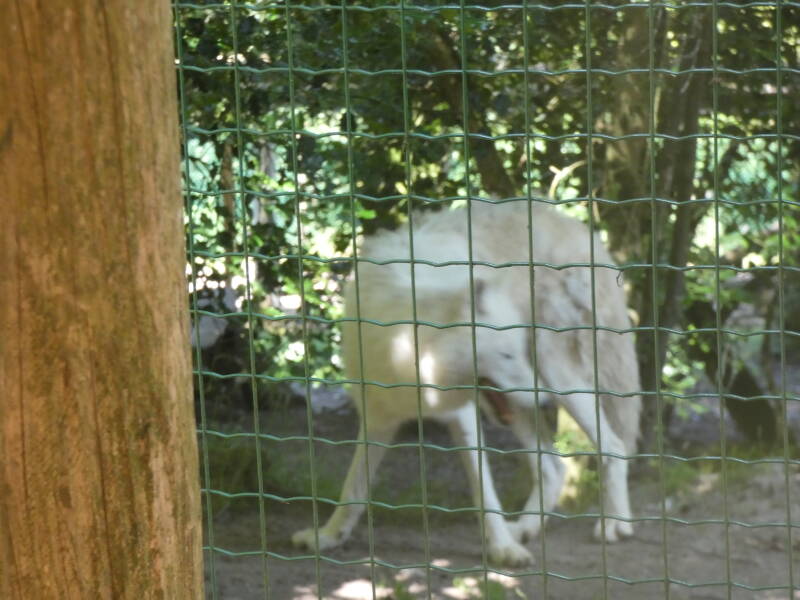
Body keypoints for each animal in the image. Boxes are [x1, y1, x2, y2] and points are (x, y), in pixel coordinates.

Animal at [292, 199, 641, 566]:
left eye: (517, 351)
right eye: (506, 355)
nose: (544, 400)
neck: (408, 359)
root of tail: (577, 227)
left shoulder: (463, 418)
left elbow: (485, 494)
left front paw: (503, 549)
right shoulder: (377, 420)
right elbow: (354, 488)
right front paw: (328, 536)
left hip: (557, 377)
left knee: (613, 446)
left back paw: (615, 524)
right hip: (520, 407)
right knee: (553, 467)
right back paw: (527, 528)